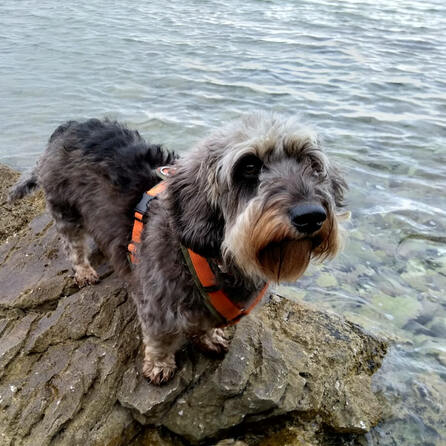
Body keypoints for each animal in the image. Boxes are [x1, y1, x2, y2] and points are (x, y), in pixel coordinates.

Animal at [9, 113, 344, 386]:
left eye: (311, 163)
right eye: (248, 166)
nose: (311, 215)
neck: (214, 256)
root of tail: (67, 127)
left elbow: (206, 326)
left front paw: (210, 338)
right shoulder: (157, 307)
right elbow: (160, 339)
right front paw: (159, 366)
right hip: (65, 208)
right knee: (73, 244)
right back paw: (84, 270)